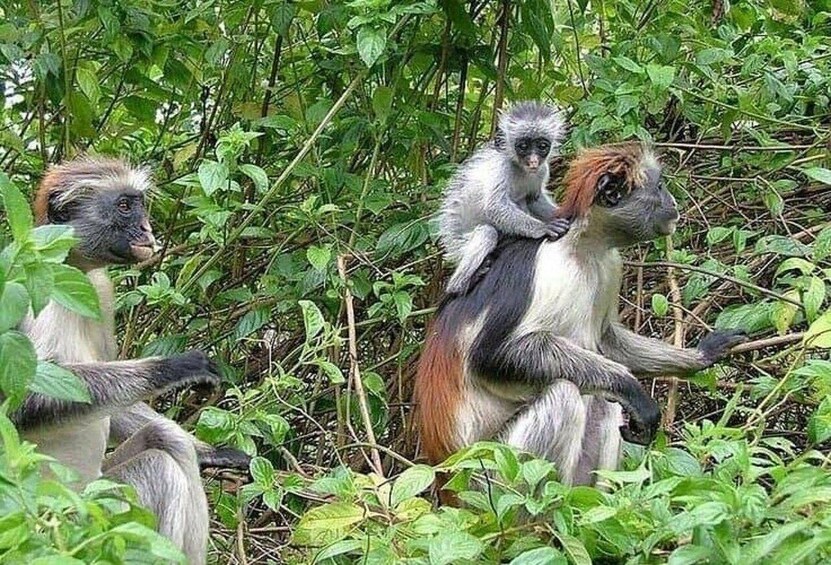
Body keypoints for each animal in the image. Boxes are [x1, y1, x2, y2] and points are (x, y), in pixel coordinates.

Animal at [10, 157, 247, 563]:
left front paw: (216, 453)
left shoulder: (99, 290)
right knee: (159, 467)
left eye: (139, 205)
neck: (69, 267)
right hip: (82, 522)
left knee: (167, 438)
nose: (147, 228)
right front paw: (172, 367)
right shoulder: (29, 281)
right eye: (124, 206)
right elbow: (25, 402)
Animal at [415, 142, 747, 489]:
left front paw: (702, 354)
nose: (673, 203)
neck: (582, 246)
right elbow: (489, 355)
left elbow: (608, 339)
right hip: (491, 470)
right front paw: (633, 388)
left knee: (602, 400)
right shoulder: (546, 262)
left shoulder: (610, 264)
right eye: (659, 186)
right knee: (565, 393)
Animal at [437, 101, 572, 295]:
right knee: (487, 232)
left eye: (542, 145)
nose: (533, 161)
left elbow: (534, 199)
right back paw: (460, 284)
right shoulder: (501, 166)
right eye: (523, 146)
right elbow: (495, 208)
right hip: (462, 245)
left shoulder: (542, 170)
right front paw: (543, 227)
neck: (521, 169)